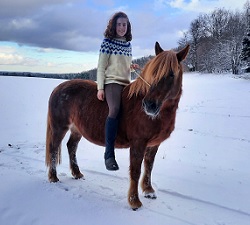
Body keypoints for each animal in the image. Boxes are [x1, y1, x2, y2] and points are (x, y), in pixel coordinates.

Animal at [45, 42, 189, 209]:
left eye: (171, 74)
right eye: (153, 72)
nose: (149, 105)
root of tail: (58, 88)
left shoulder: (153, 145)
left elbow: (149, 166)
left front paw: (148, 191)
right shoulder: (138, 143)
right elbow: (135, 171)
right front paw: (134, 201)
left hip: (76, 129)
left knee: (71, 146)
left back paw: (77, 173)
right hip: (59, 127)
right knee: (54, 148)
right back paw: (53, 177)